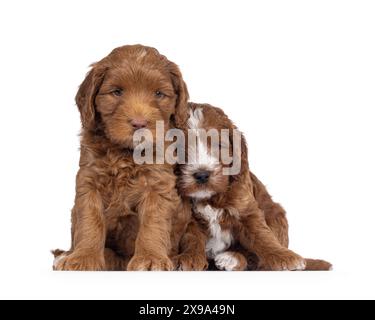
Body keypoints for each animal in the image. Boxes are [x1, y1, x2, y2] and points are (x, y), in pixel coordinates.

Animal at [53, 45, 192, 270]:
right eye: (117, 92)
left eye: (159, 93)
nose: (139, 123)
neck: (125, 153)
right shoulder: (89, 180)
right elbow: (90, 220)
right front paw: (84, 258)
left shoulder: (158, 184)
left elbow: (153, 223)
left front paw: (151, 258)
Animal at [174, 104, 332, 272]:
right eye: (179, 149)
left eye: (219, 145)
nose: (202, 175)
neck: (209, 197)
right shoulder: (190, 218)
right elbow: (192, 238)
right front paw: (189, 258)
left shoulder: (247, 209)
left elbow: (261, 235)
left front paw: (285, 258)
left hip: (276, 214)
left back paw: (232, 258)